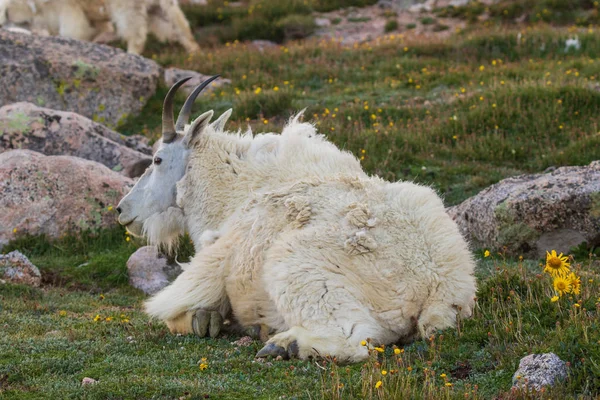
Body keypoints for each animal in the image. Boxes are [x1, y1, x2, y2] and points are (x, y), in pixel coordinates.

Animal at [0, 0, 199, 54]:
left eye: (8, 16)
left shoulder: (67, 5)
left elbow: (73, 26)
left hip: (126, 5)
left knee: (133, 28)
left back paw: (132, 52)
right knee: (172, 17)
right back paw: (192, 48)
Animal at [117, 77, 478, 362]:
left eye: (157, 159)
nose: (122, 211)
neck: (236, 188)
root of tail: (437, 287)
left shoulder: (212, 262)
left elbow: (174, 310)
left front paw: (204, 319)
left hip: (298, 266)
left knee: (354, 342)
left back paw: (284, 344)